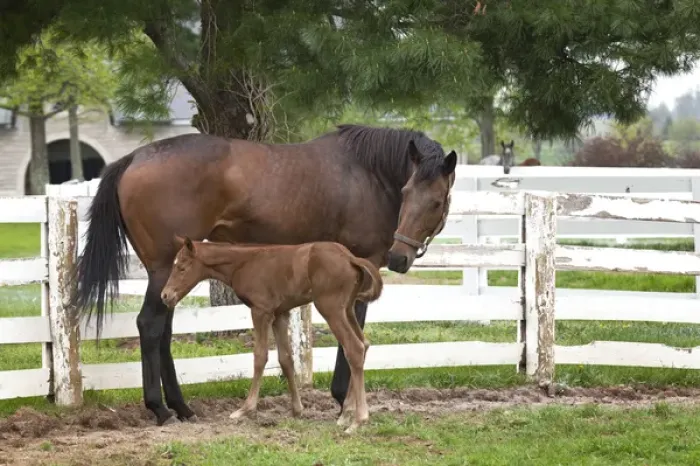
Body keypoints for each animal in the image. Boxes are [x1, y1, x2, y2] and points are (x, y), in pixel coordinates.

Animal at [160, 236, 383, 433]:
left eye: (182, 267)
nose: (165, 295)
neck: (244, 263)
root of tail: (350, 258)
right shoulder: (280, 314)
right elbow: (286, 358)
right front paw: (297, 409)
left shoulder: (261, 311)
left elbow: (260, 356)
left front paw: (245, 409)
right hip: (347, 308)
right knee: (364, 343)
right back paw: (345, 414)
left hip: (330, 308)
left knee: (354, 347)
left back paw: (357, 421)